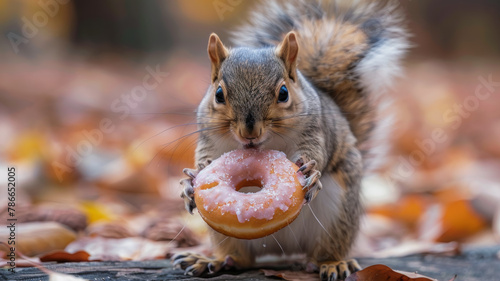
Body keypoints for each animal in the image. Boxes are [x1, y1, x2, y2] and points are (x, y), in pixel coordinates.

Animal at [174, 1, 408, 278]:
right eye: (219, 94)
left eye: (284, 93)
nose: (249, 133)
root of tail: (283, 250)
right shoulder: (208, 138)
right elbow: (203, 158)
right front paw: (191, 181)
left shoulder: (316, 130)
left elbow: (317, 153)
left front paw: (311, 173)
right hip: (226, 234)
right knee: (241, 259)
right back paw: (213, 260)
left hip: (339, 213)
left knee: (324, 252)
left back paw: (333, 263)